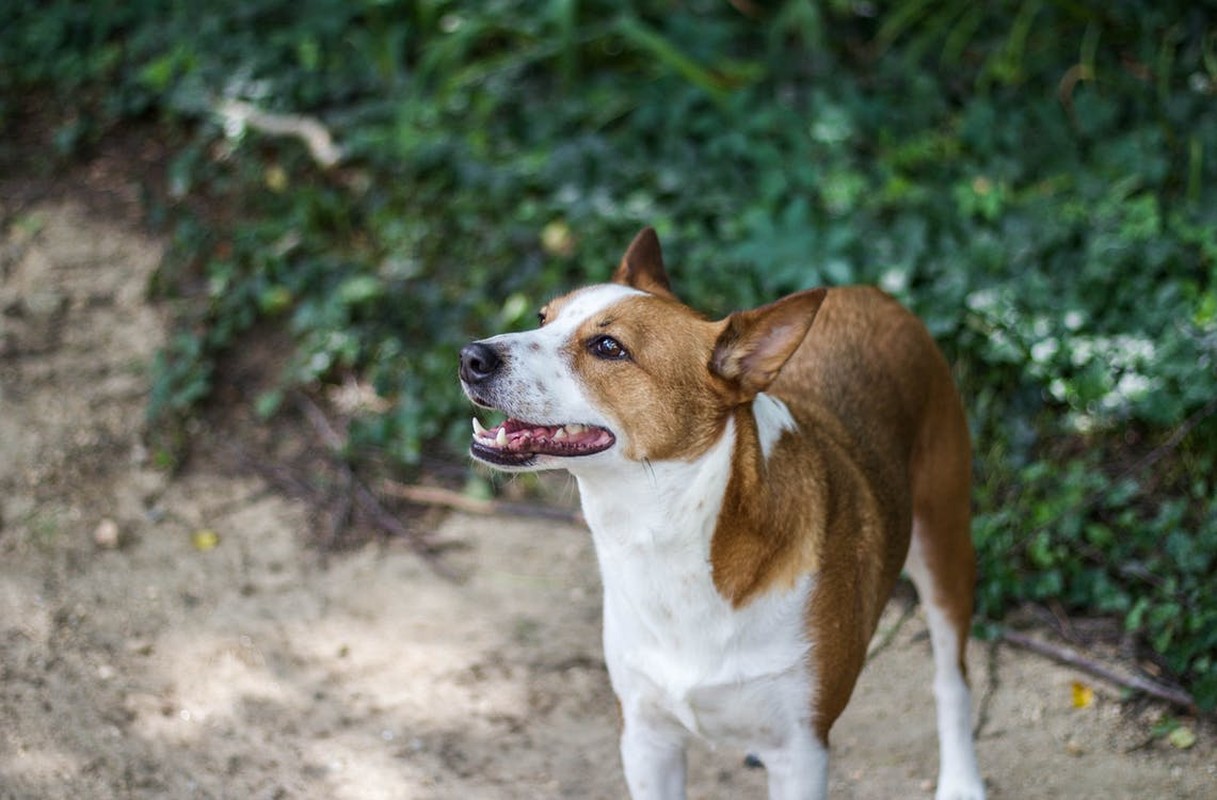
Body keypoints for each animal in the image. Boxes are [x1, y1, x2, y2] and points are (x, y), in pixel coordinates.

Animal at [460, 227, 983, 793]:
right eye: (542, 318)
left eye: (607, 347)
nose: (470, 356)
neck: (667, 540)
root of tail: (873, 291)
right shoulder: (646, 739)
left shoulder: (802, 751)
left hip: (944, 543)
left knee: (952, 677)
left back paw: (962, 780)